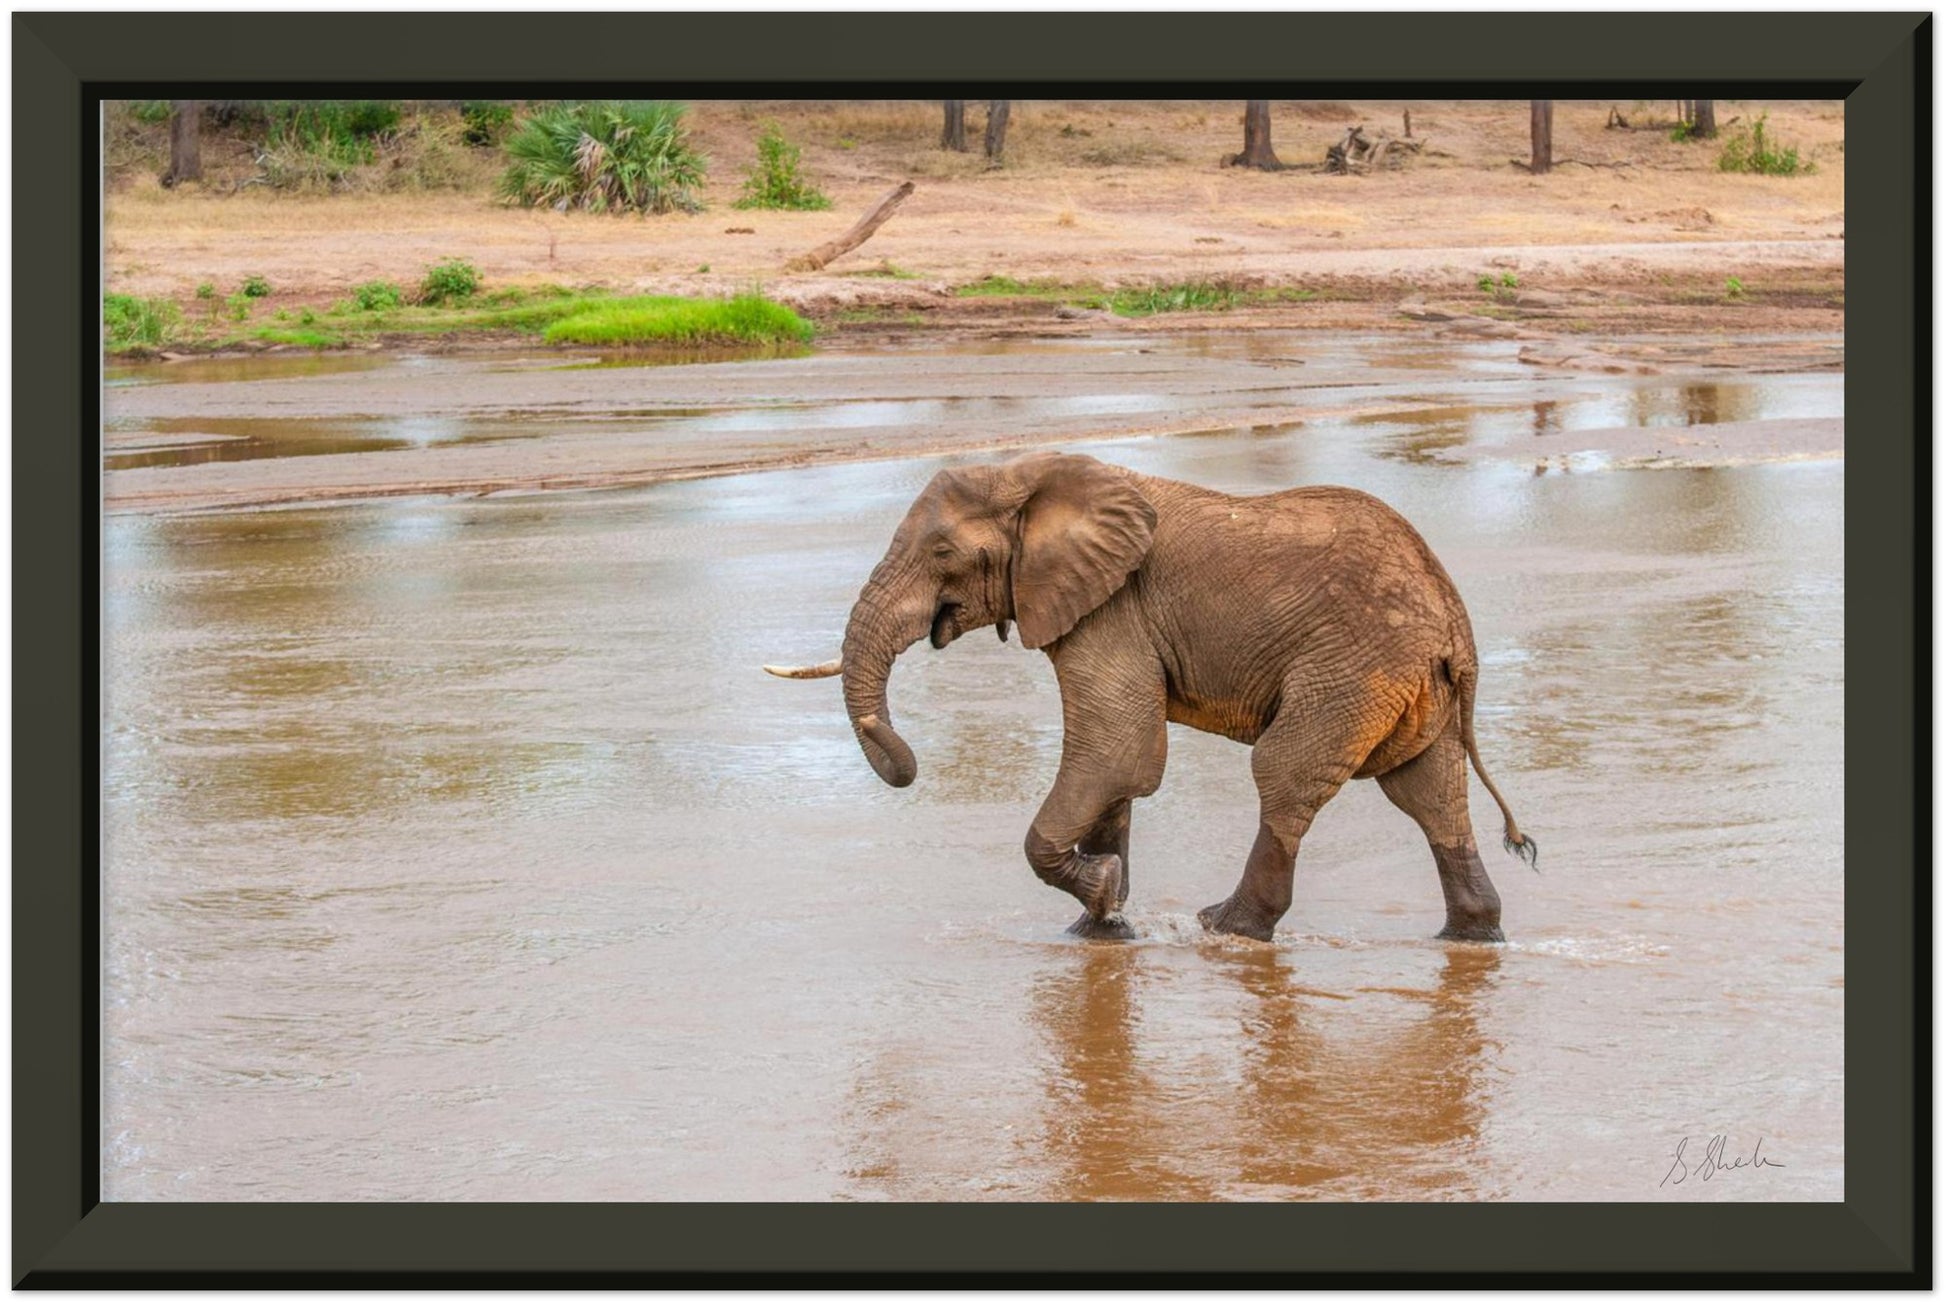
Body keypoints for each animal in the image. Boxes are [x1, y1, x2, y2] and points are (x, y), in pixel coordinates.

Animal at [758, 455, 1533, 945]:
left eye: (942, 555)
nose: (906, 764)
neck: (1032, 474)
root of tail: (1454, 624)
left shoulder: (1112, 610)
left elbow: (1116, 752)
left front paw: (1104, 896)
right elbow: (1117, 775)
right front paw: (1100, 928)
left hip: (1352, 669)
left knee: (1284, 774)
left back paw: (1226, 927)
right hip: (1408, 686)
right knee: (1431, 794)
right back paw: (1472, 935)